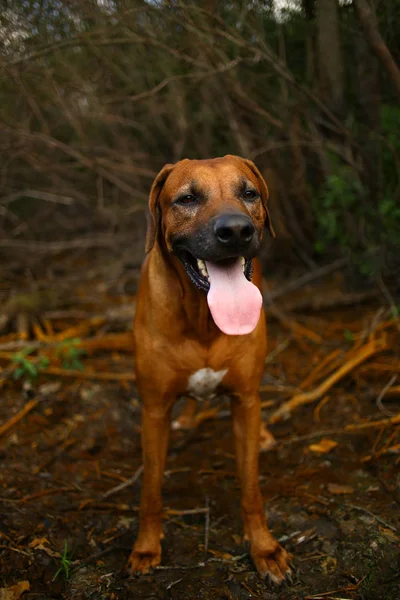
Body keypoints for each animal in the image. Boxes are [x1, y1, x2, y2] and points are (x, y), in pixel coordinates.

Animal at [127, 155, 290, 580]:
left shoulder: (245, 400)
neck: (203, 317)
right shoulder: (153, 410)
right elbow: (151, 489)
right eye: (187, 198)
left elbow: (251, 488)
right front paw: (146, 547)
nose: (236, 230)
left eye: (249, 192)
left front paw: (264, 548)